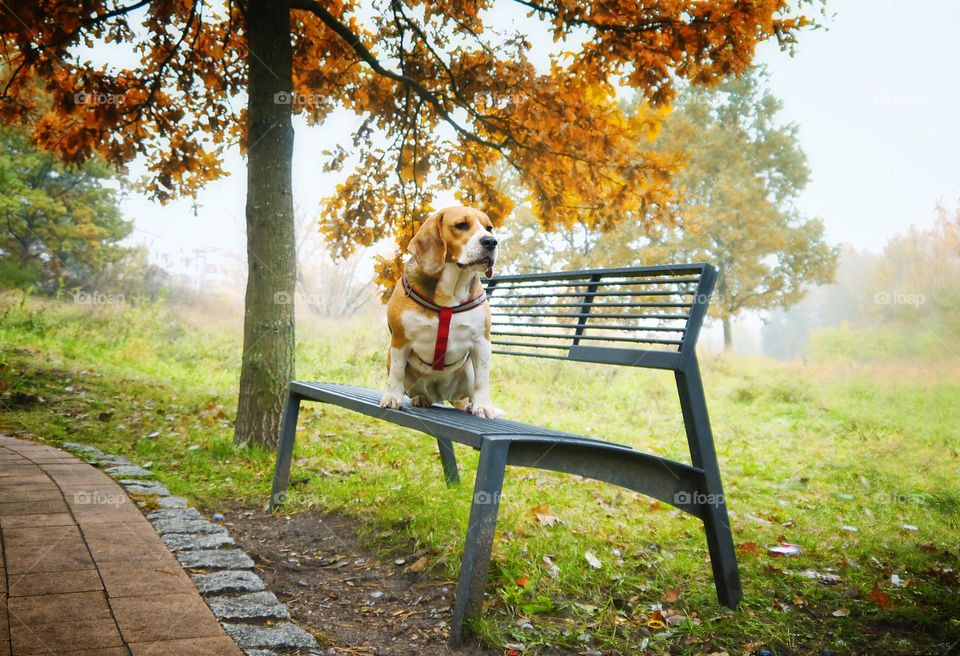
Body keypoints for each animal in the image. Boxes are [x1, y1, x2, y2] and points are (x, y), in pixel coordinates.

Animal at [380, 205, 498, 418]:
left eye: (489, 228)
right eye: (461, 225)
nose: (491, 241)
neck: (449, 294)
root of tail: (441, 395)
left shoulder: (482, 342)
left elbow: (483, 380)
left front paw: (483, 406)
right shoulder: (400, 340)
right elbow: (397, 373)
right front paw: (392, 398)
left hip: (468, 370)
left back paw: (470, 405)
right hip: (390, 356)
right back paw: (421, 398)